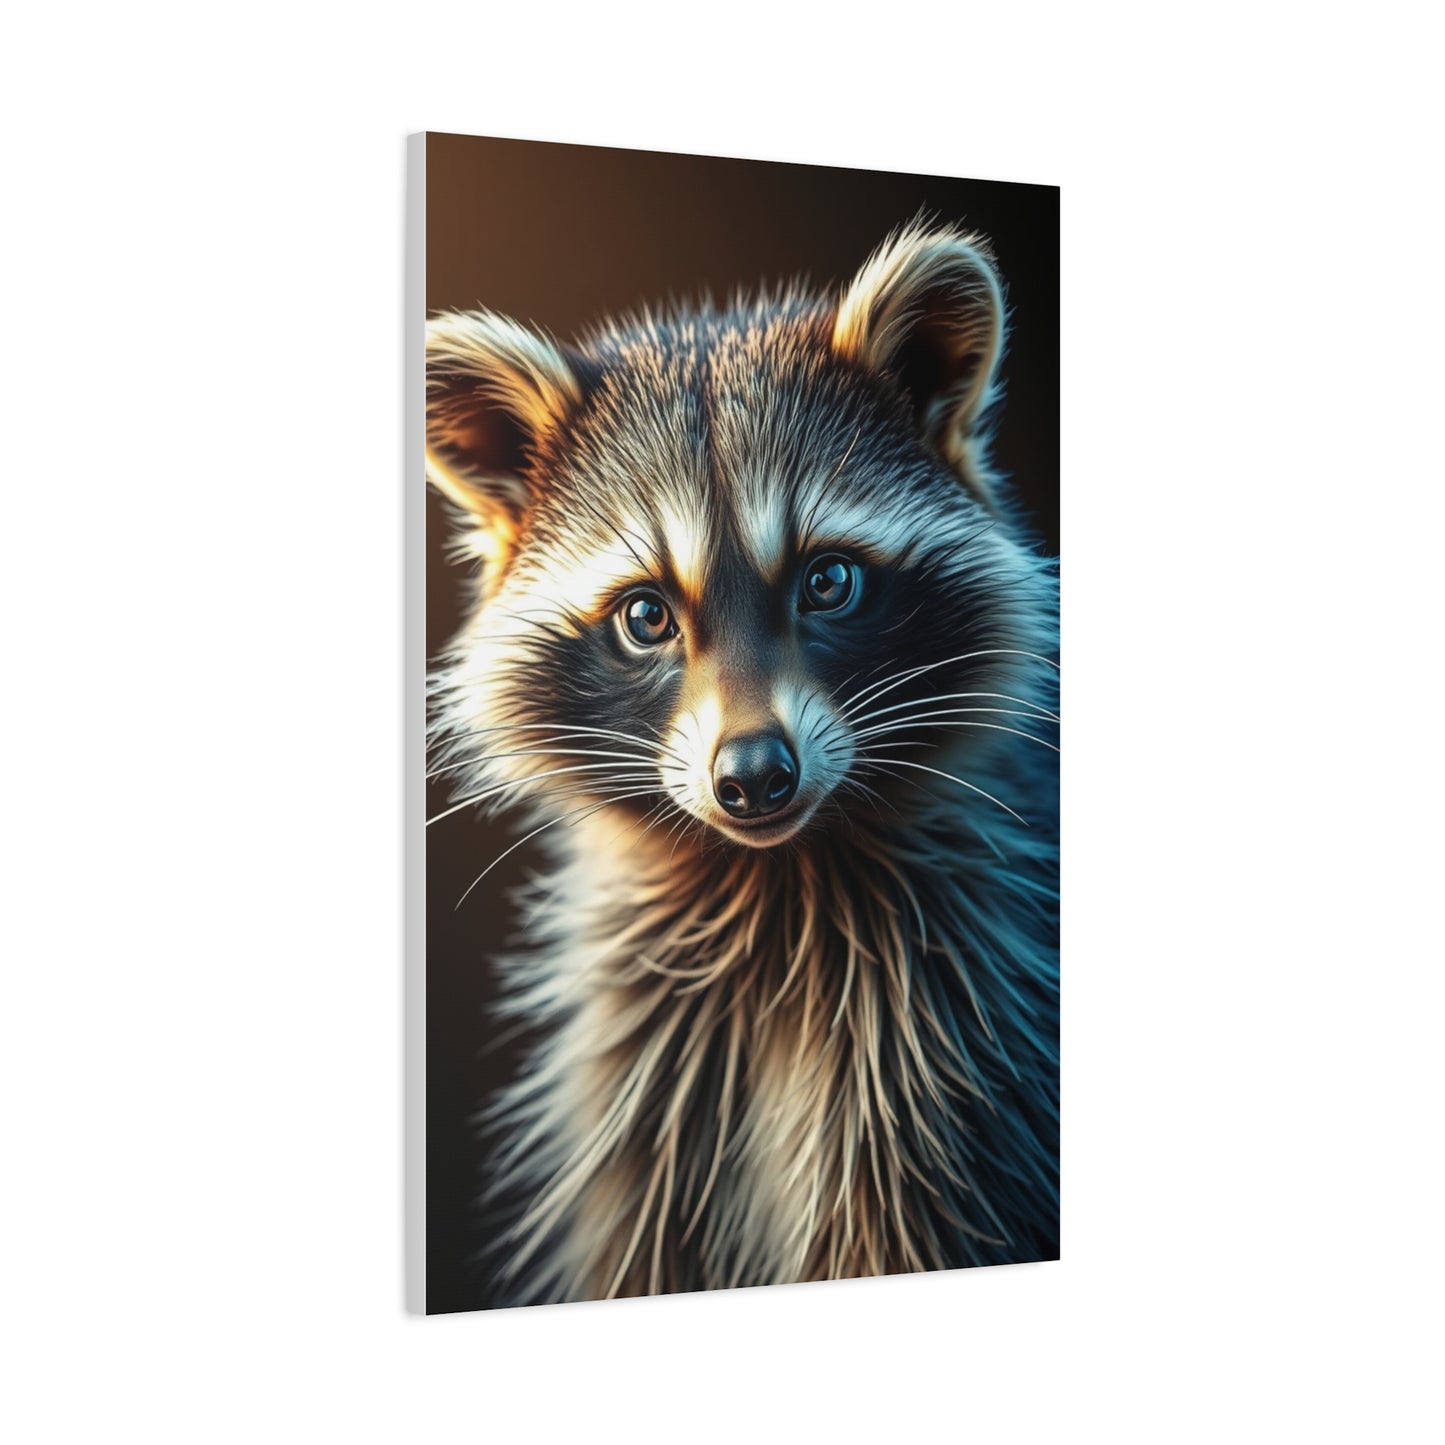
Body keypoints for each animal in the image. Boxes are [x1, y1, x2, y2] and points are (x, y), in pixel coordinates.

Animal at [426, 222, 1059, 1304]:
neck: (775, 878)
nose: (756, 773)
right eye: (645, 616)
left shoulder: (949, 1066)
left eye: (829, 580)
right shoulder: (646, 1082)